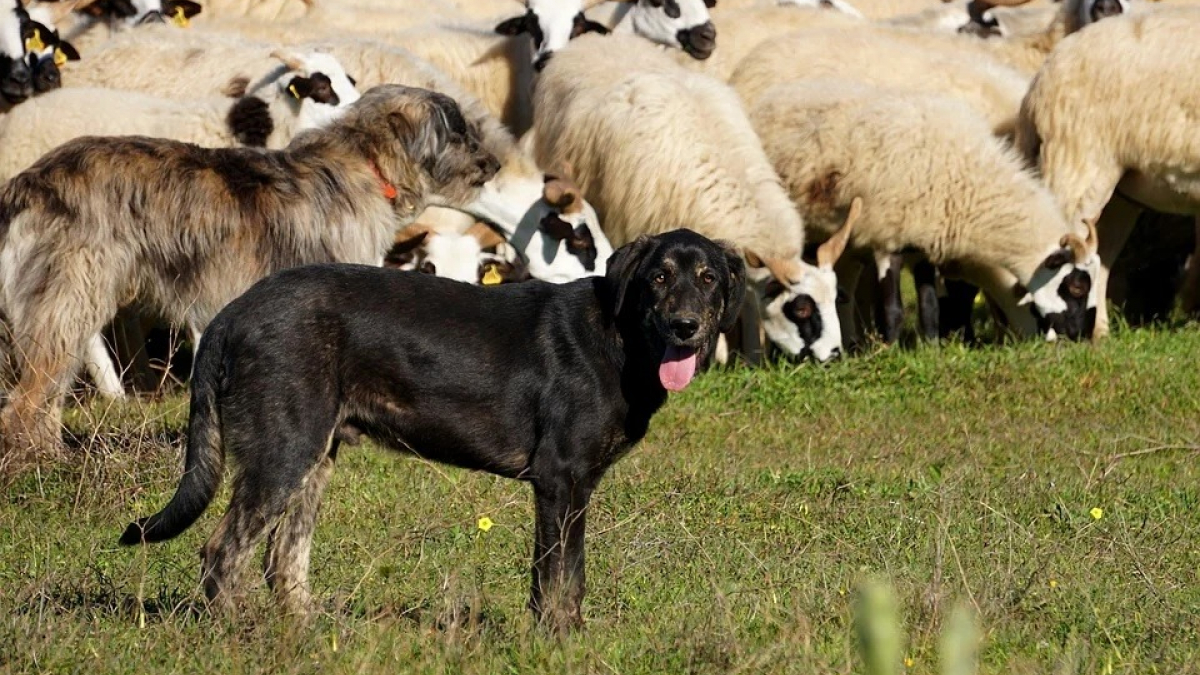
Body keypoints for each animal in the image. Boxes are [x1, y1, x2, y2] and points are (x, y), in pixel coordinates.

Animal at [119, 228, 739, 629]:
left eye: (709, 278)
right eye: (659, 277)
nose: (685, 327)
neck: (620, 336)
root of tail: (232, 313)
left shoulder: (573, 486)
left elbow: (569, 576)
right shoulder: (560, 480)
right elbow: (557, 578)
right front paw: (558, 643)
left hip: (313, 459)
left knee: (283, 560)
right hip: (284, 454)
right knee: (222, 553)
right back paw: (238, 634)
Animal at [525, 35, 854, 362]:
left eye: (836, 299)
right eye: (801, 308)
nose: (834, 356)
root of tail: (593, 41)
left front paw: (752, 356)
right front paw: (718, 360)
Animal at [748, 78, 1104, 341]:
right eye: (1076, 286)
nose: (1077, 336)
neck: (970, 184)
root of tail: (773, 95)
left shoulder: (923, 242)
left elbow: (930, 308)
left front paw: (931, 348)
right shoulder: (886, 239)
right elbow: (892, 310)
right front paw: (890, 350)